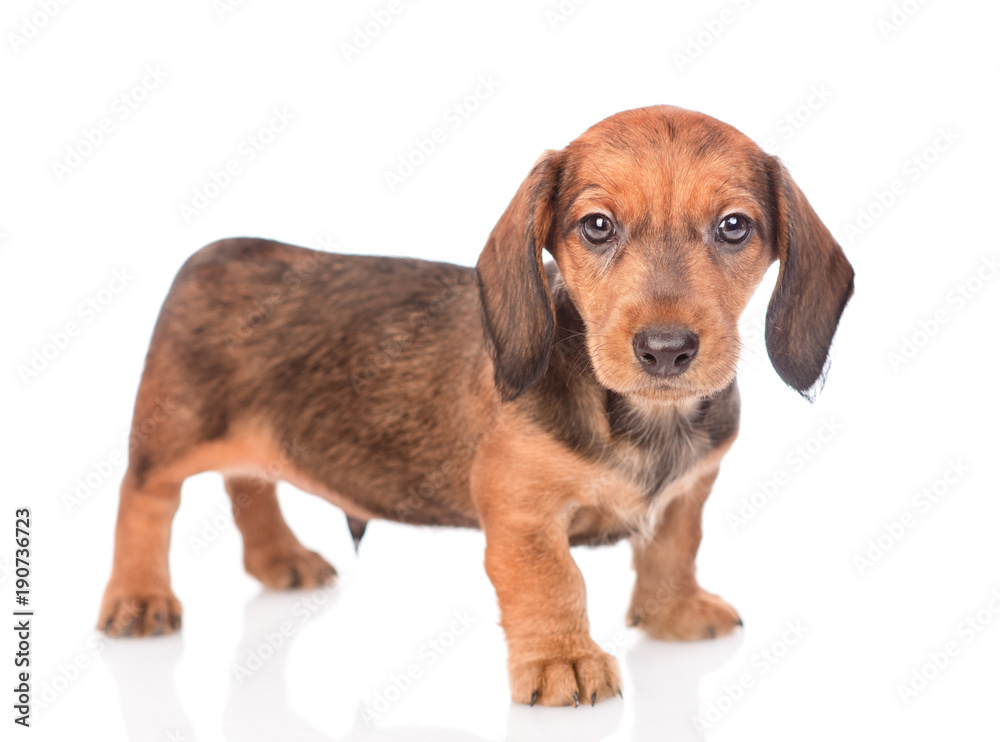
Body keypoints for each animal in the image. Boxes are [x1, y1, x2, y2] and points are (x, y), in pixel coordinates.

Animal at [97, 104, 856, 708]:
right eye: (597, 226)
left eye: (734, 227)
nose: (666, 350)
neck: (640, 418)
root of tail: (215, 252)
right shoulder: (522, 515)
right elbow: (554, 582)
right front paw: (562, 661)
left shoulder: (689, 493)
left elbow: (673, 548)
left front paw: (672, 613)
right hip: (172, 438)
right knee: (145, 500)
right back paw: (138, 598)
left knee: (248, 484)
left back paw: (280, 558)